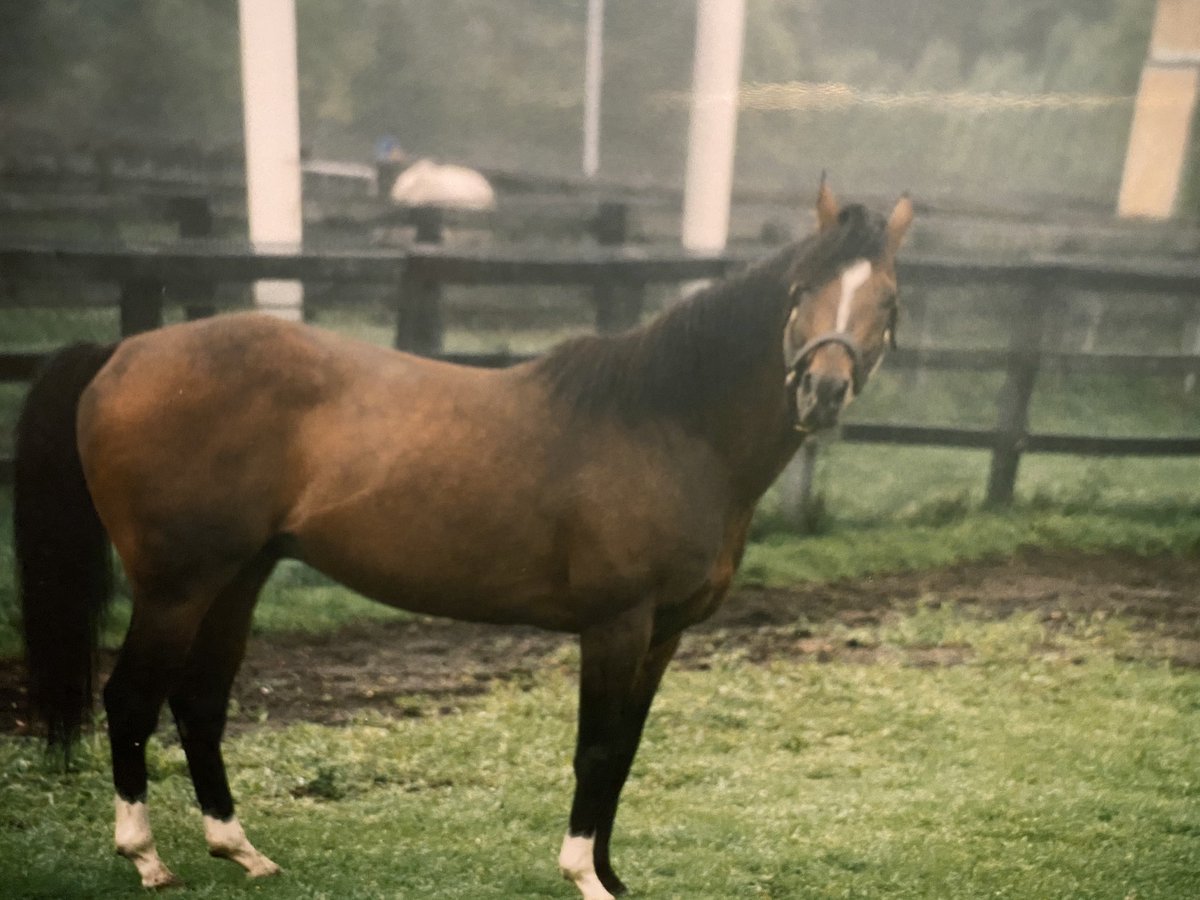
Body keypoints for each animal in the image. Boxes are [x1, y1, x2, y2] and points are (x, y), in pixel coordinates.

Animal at [11, 183, 907, 900]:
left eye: (889, 301)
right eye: (800, 290)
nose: (822, 390)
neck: (668, 423)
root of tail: (121, 352)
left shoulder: (664, 635)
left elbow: (624, 752)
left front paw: (613, 876)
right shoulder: (615, 625)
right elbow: (595, 749)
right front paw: (585, 878)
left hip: (239, 576)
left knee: (199, 701)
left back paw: (241, 851)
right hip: (177, 585)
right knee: (130, 699)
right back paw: (146, 858)